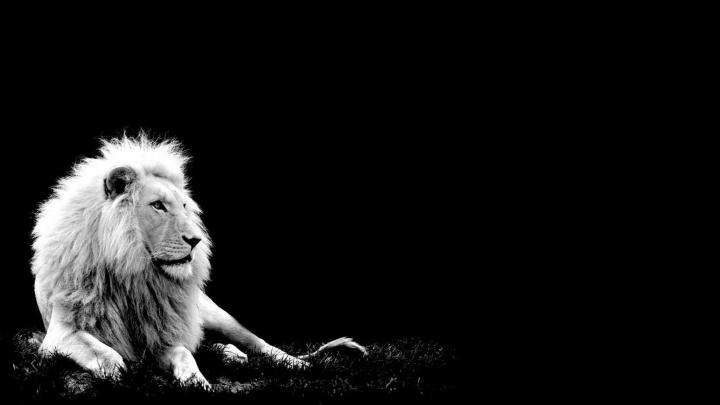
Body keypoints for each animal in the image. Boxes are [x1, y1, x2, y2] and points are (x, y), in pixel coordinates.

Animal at [31, 134, 366, 389]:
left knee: (260, 344)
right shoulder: (60, 334)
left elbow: (185, 354)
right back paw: (232, 356)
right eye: (158, 206)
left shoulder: (163, 334)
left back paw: (295, 365)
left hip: (217, 316)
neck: (132, 273)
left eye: (183, 206)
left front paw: (196, 381)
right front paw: (118, 371)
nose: (196, 240)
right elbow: (107, 354)